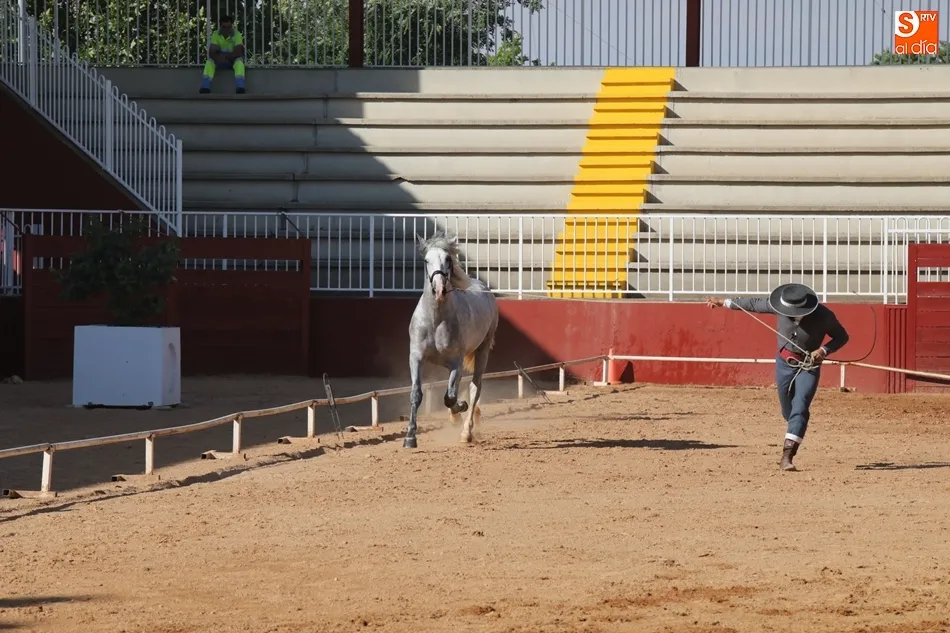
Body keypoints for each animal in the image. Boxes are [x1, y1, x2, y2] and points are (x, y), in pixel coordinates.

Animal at [404, 232, 499, 449]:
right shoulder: (416, 358)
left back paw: (466, 432)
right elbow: (416, 394)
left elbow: (450, 397)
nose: (439, 290)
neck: (435, 321)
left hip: (482, 351)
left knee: (474, 388)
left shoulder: (456, 363)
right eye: (426, 260)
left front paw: (459, 409)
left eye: (448, 259)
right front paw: (410, 437)